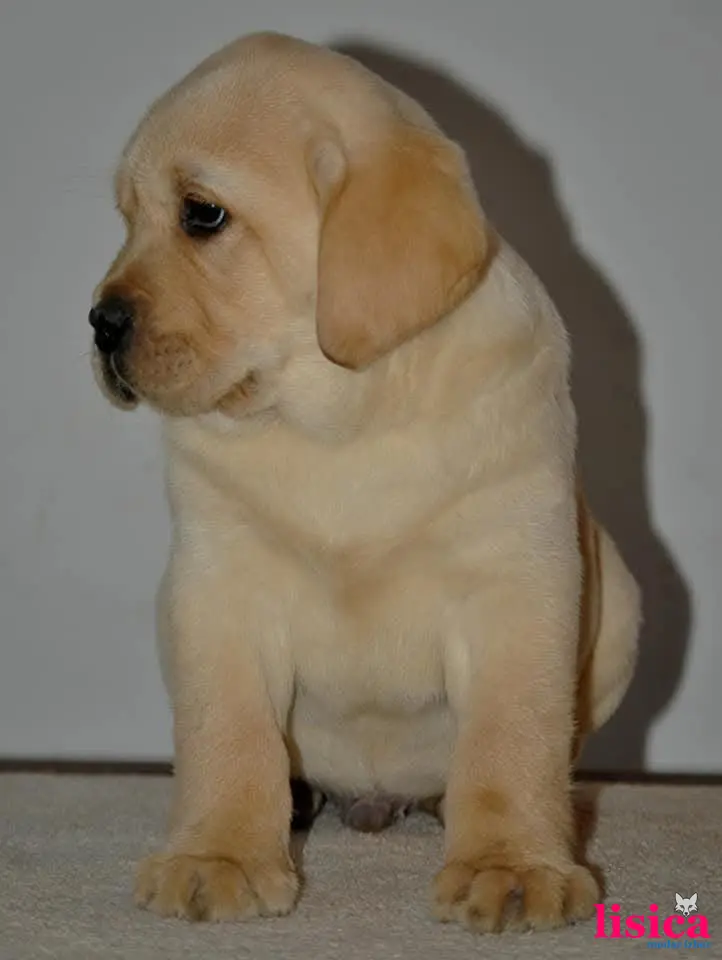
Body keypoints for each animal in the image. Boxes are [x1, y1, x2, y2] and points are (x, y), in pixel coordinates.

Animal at [89, 32, 641, 933]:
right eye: (126, 216)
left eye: (202, 214)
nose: (99, 324)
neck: (337, 420)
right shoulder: (216, 585)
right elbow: (225, 732)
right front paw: (218, 855)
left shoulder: (516, 579)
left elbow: (512, 738)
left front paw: (513, 863)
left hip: (620, 597)